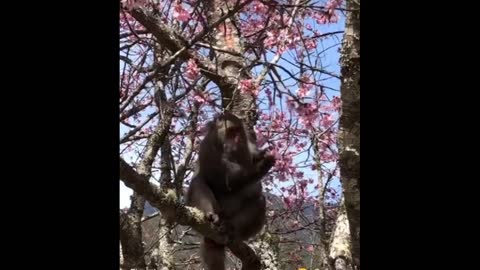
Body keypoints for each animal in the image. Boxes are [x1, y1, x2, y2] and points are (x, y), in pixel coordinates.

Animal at [186, 111, 276, 270]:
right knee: (198, 182)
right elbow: (224, 181)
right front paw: (262, 165)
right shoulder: (208, 147)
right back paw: (210, 215)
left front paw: (262, 155)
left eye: (237, 132)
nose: (236, 141)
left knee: (259, 202)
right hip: (218, 211)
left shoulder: (249, 146)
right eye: (230, 132)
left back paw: (230, 228)